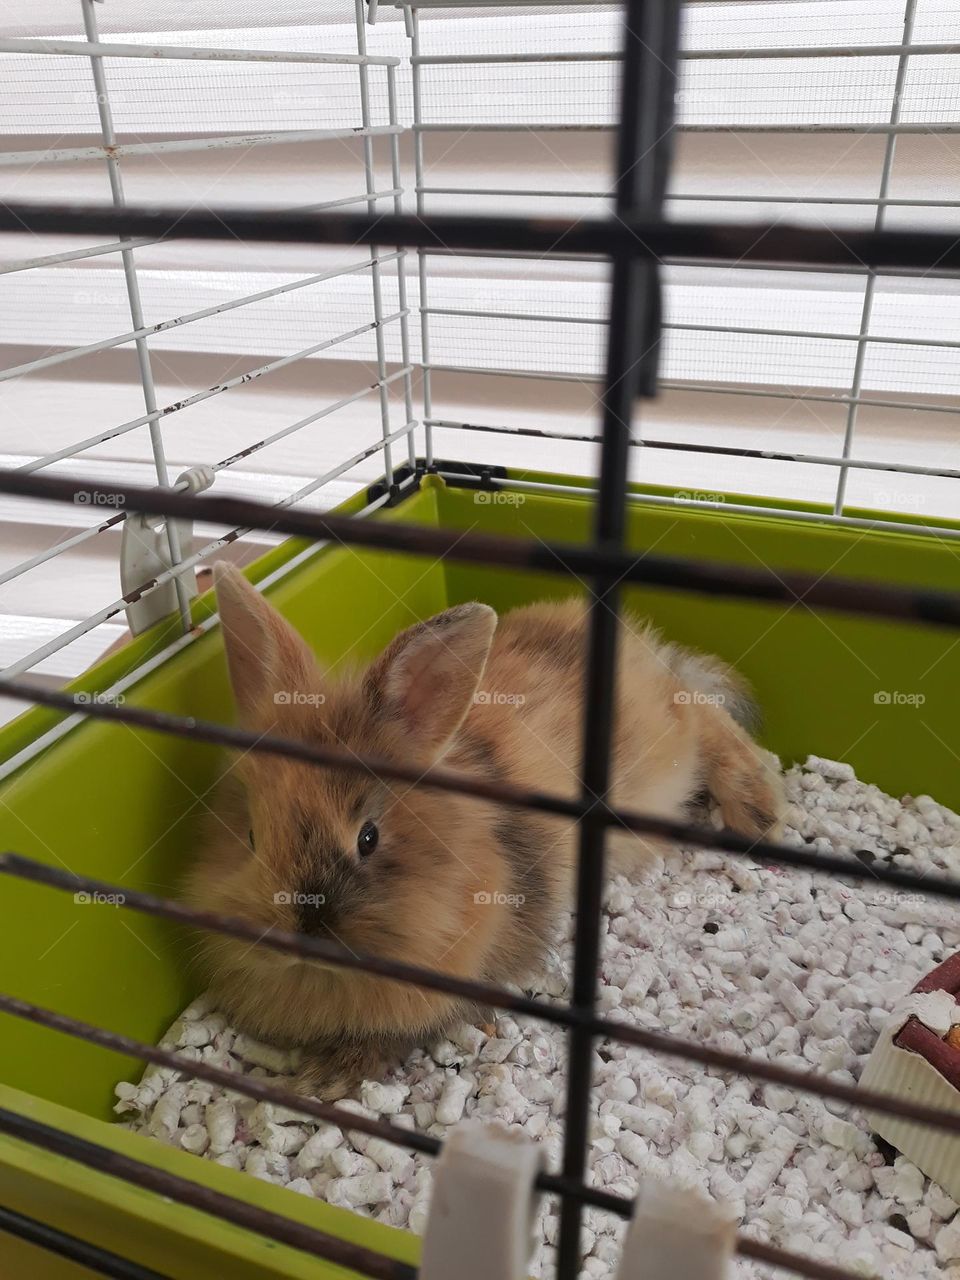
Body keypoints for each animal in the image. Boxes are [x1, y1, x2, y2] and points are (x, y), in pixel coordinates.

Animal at [184, 562, 784, 1099]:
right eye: (252, 838)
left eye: (368, 837)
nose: (300, 938)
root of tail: (643, 648)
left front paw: (326, 1077)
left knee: (707, 719)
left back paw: (761, 813)